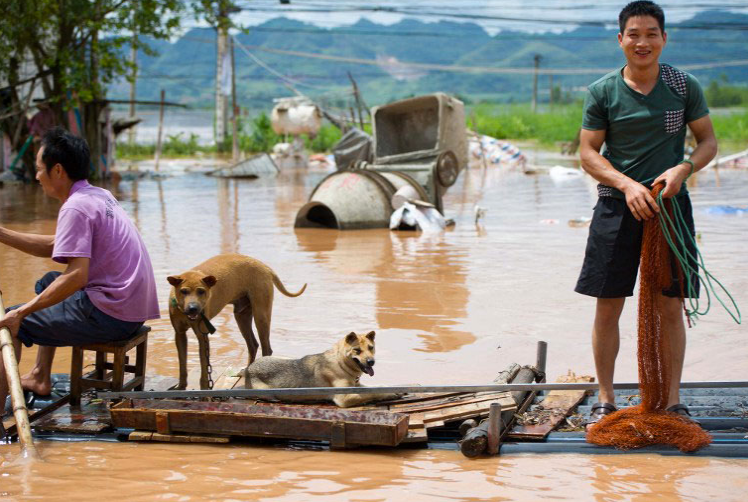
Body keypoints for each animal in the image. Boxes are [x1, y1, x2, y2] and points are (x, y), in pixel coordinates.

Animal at [168, 253, 306, 390]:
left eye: (201, 291)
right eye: (183, 291)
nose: (193, 308)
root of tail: (265, 267)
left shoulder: (202, 335)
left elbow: (204, 368)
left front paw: (204, 388)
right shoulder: (179, 334)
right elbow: (182, 364)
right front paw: (181, 386)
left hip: (261, 315)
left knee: (266, 348)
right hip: (241, 317)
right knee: (253, 345)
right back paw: (247, 371)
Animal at [244, 330, 398, 408]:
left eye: (371, 348)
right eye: (357, 350)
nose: (371, 362)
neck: (340, 362)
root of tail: (248, 369)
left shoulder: (356, 385)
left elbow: (376, 388)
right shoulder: (344, 398)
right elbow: (370, 394)